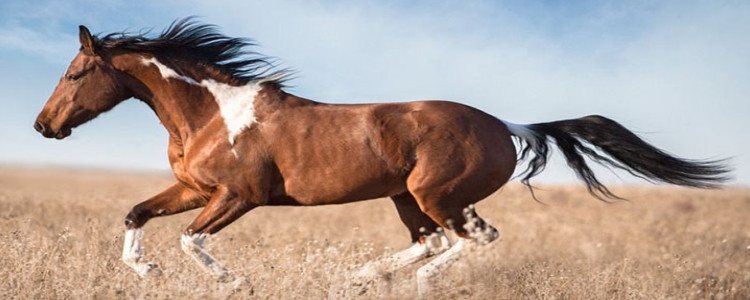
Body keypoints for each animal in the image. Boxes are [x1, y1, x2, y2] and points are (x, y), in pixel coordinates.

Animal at [32, 19, 732, 296]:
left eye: (74, 73)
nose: (43, 126)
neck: (212, 114)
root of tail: (506, 125)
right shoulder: (195, 191)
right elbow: (135, 214)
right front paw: (144, 271)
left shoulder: (238, 197)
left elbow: (190, 241)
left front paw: (235, 283)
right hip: (405, 196)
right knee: (434, 241)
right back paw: (362, 276)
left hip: (436, 194)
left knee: (472, 238)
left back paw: (399, 282)